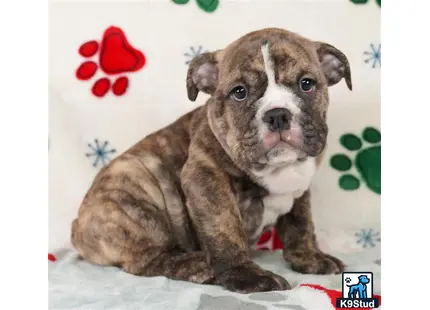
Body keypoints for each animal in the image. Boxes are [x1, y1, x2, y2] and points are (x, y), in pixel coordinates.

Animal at [71, 27, 352, 294]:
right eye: (239, 92)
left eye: (307, 83)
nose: (277, 115)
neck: (279, 169)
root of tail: (76, 228)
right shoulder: (206, 178)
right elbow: (224, 229)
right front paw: (247, 275)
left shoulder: (301, 189)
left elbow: (300, 224)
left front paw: (310, 258)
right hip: (133, 188)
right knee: (147, 259)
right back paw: (199, 265)